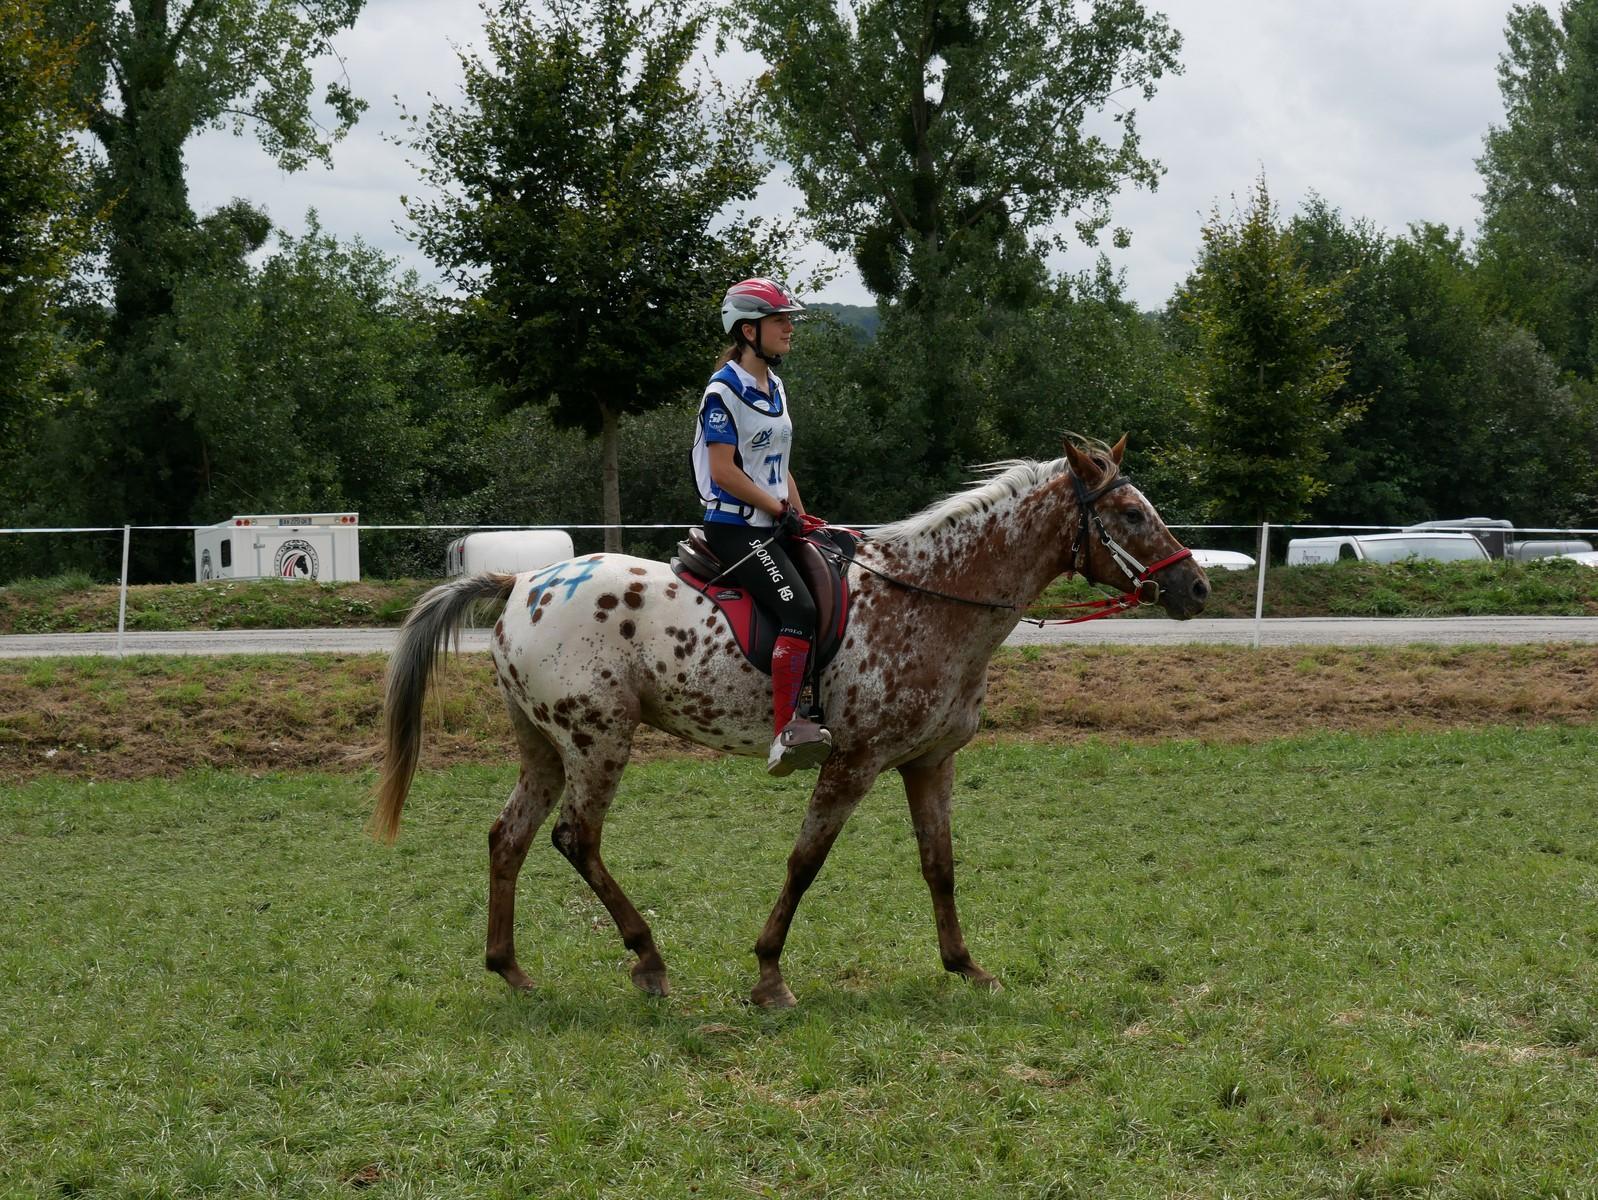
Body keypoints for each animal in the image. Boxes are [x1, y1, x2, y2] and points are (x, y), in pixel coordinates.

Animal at [370, 437, 1201, 1009]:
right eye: (1132, 514)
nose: (1194, 587)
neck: (931, 597)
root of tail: (523, 581)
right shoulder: (853, 762)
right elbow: (806, 863)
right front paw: (770, 974)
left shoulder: (929, 761)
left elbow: (940, 865)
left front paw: (965, 965)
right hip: (597, 740)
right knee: (576, 839)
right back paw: (648, 958)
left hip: (544, 746)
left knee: (507, 837)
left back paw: (510, 968)